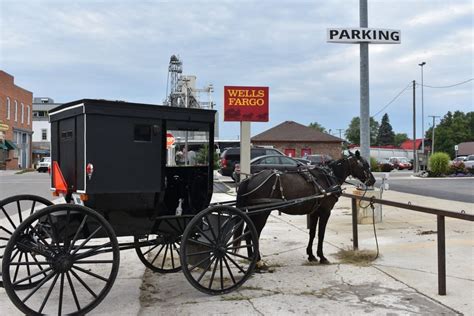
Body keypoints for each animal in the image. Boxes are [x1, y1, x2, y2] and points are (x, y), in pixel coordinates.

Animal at [236, 151, 374, 264]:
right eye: (364, 165)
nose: (372, 180)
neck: (328, 177)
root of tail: (250, 179)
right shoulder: (325, 212)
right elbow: (321, 234)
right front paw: (322, 257)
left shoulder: (314, 212)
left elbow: (312, 233)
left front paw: (311, 255)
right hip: (261, 213)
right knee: (253, 234)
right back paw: (257, 260)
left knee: (248, 233)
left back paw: (251, 258)